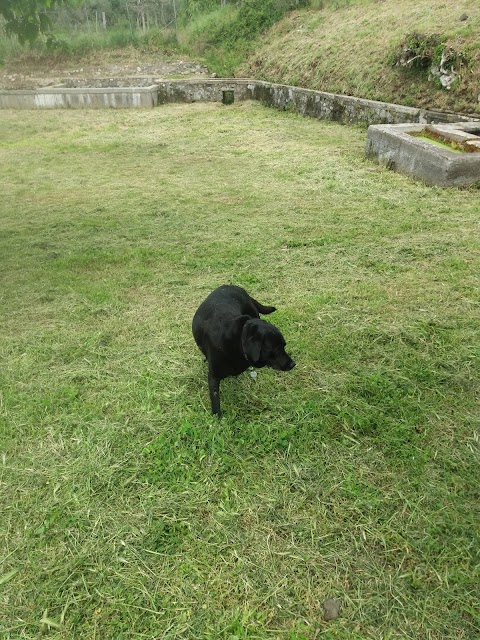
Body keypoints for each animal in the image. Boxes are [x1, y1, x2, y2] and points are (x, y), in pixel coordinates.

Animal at [193, 286, 294, 420]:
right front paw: (218, 419)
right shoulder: (213, 376)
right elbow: (215, 400)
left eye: (284, 346)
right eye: (276, 349)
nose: (293, 364)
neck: (238, 341)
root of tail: (235, 286)